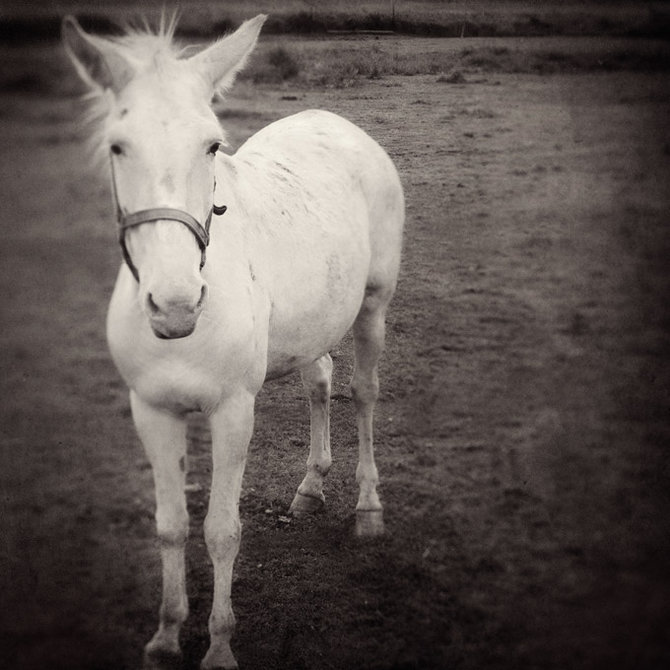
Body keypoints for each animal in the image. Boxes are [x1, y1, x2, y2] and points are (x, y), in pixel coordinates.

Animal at [63, 15, 404, 670]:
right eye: (118, 147)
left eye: (212, 146)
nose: (175, 305)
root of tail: (339, 124)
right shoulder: (152, 410)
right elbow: (171, 525)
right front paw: (166, 635)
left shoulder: (232, 412)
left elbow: (222, 531)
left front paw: (219, 647)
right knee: (320, 381)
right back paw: (310, 488)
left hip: (374, 305)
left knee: (363, 393)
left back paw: (369, 508)